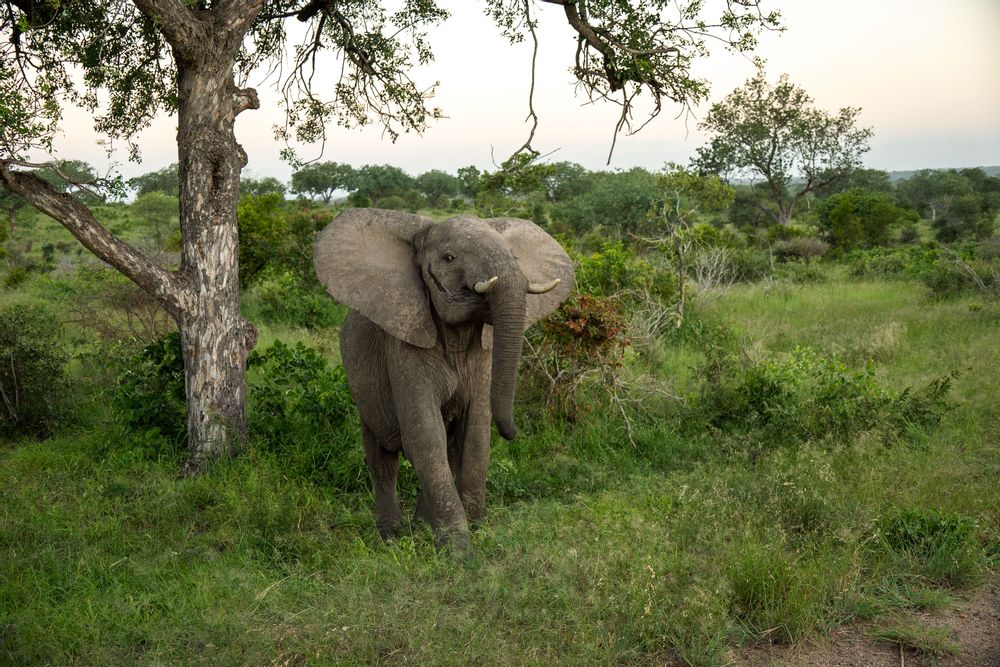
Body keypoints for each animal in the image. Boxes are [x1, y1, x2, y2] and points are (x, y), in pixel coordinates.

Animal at [313, 208, 574, 548]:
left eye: (513, 254)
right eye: (449, 258)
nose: (513, 432)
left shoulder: (482, 357)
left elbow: (474, 435)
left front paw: (476, 531)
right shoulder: (404, 346)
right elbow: (424, 436)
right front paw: (460, 548)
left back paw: (422, 526)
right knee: (383, 460)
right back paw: (391, 537)